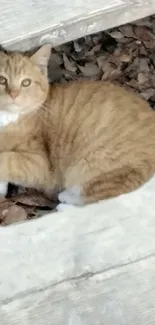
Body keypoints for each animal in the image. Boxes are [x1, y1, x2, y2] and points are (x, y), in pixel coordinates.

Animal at [0, 44, 155, 209]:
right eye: (2, 80)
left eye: (26, 83)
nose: (13, 94)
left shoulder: (40, 163)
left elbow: (7, 159)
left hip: (94, 164)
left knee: (101, 197)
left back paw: (65, 201)